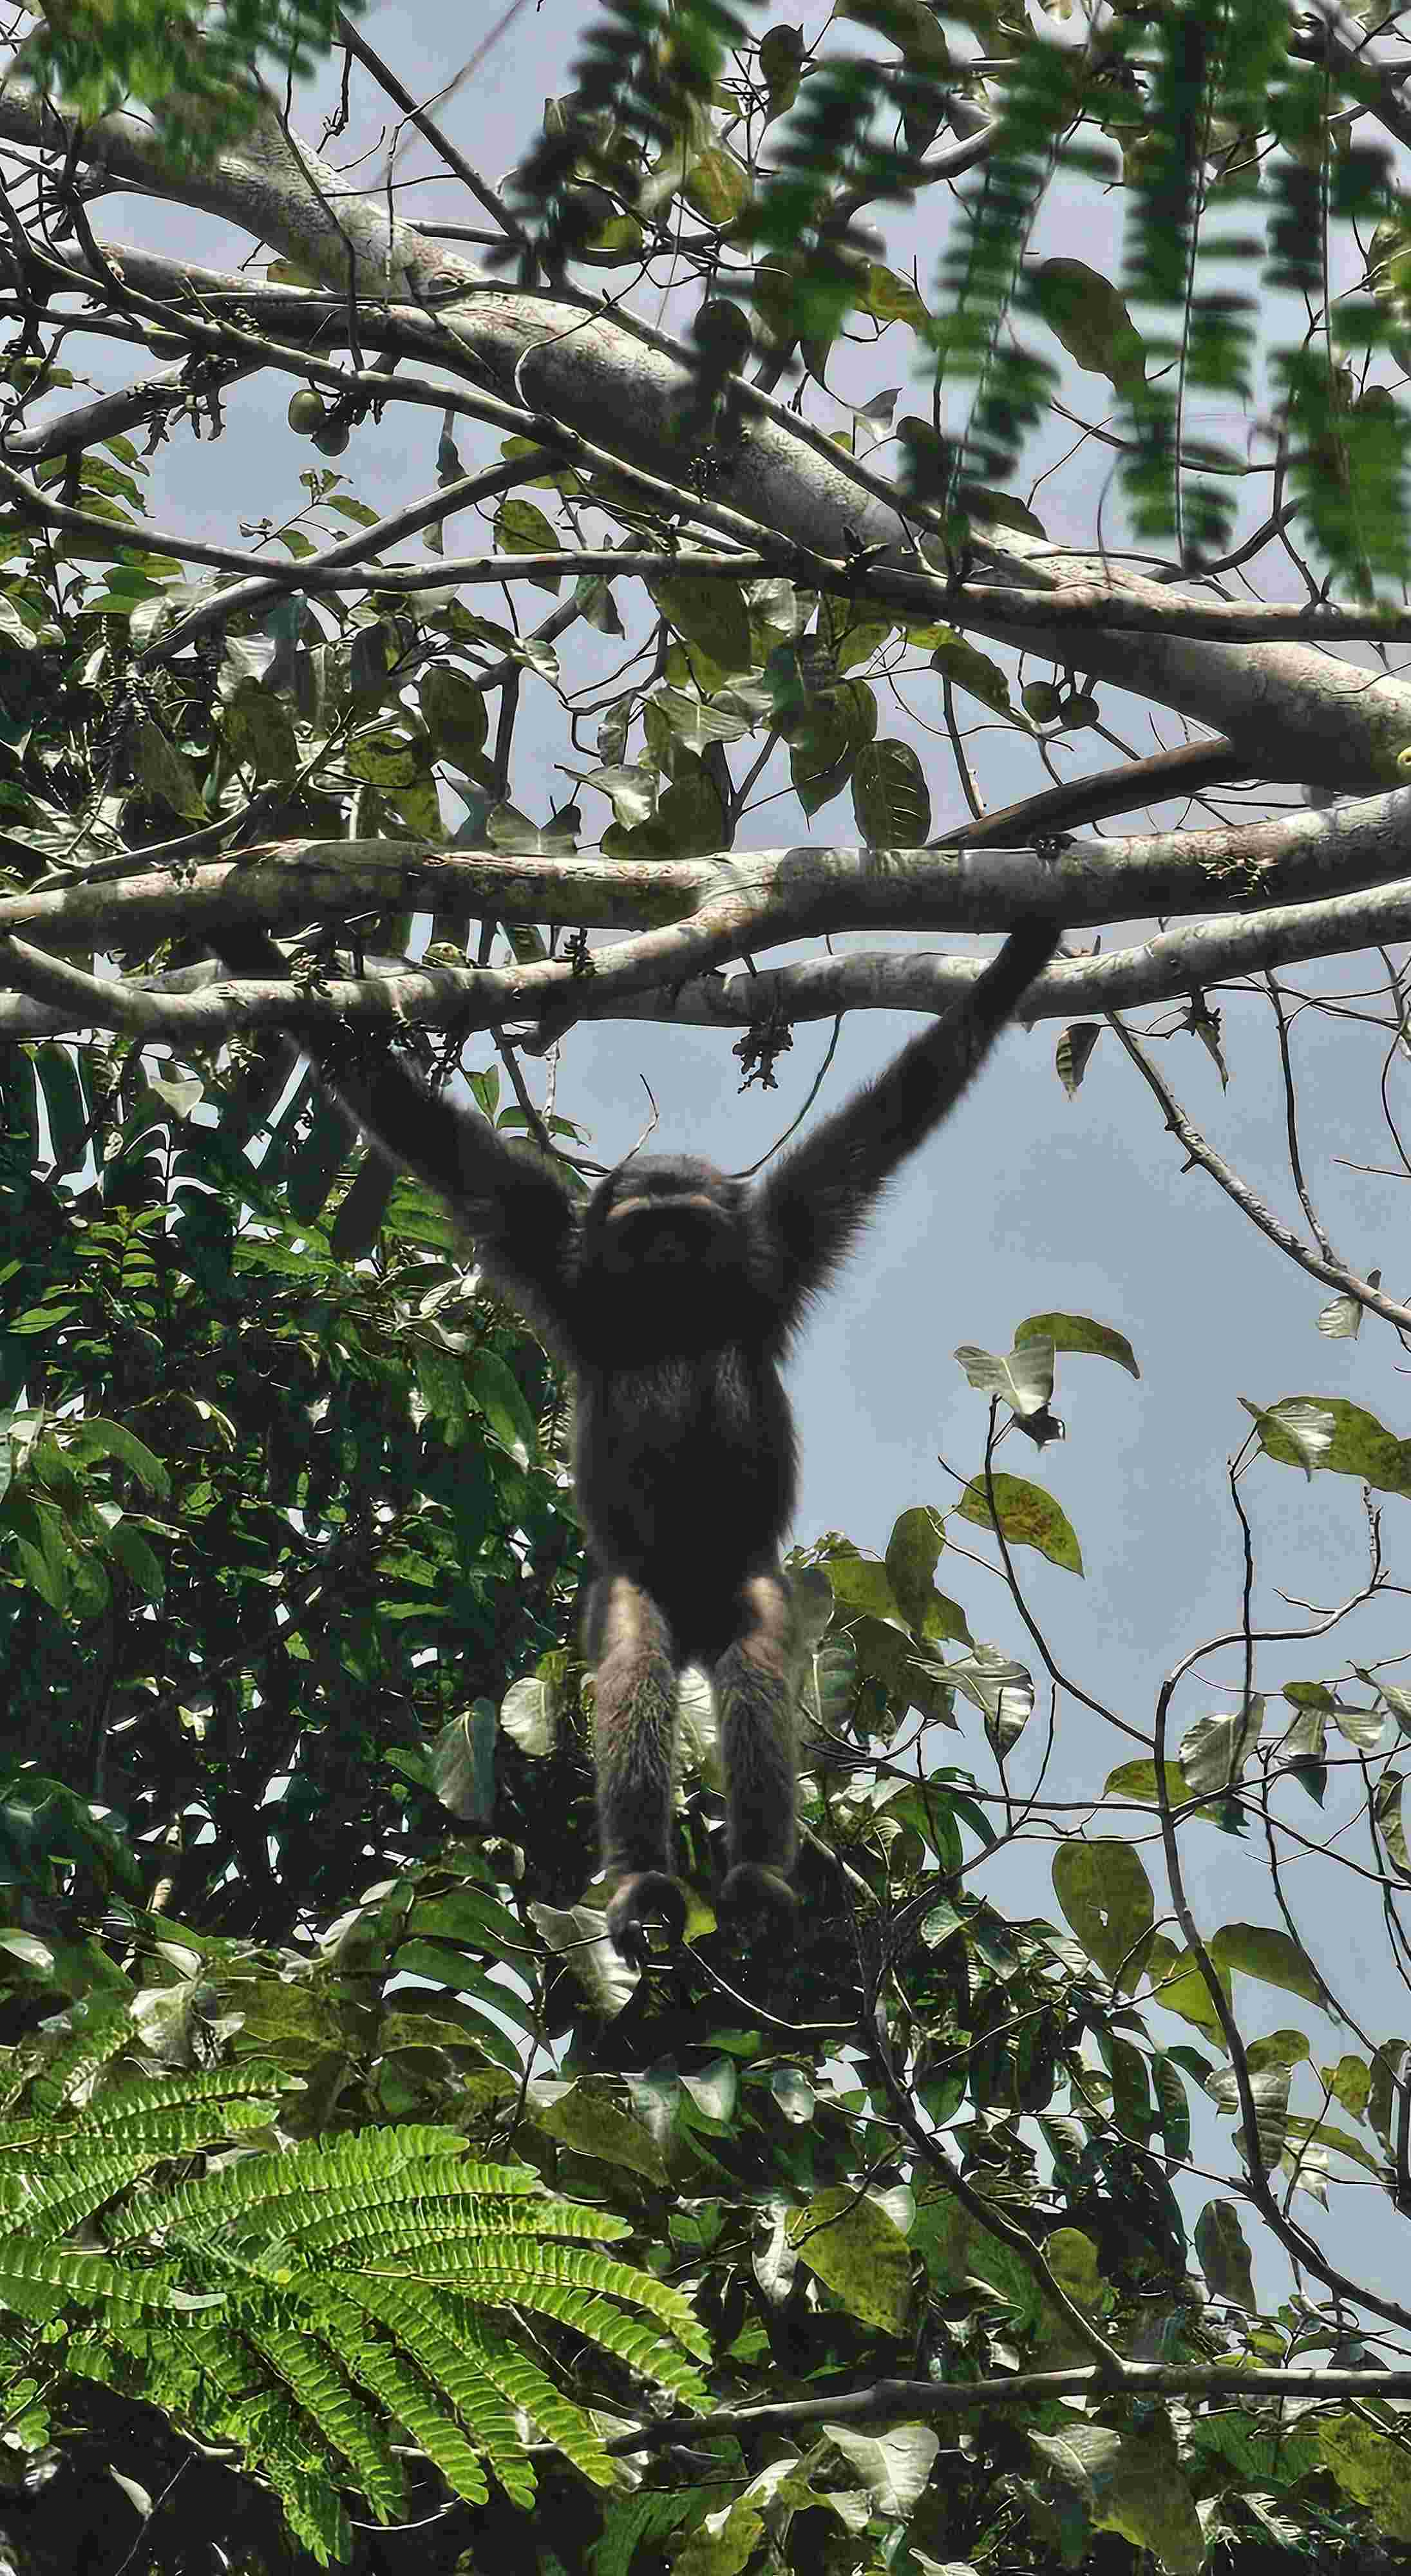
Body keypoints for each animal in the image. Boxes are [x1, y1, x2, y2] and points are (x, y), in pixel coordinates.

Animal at [312, 921, 1060, 1961]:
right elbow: (428, 1135)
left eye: (685, 1225)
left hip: (747, 1583)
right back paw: (642, 1882)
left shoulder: (776, 1247)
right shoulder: (556, 1256)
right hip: (637, 1589)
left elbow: (898, 1108)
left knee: (753, 1676)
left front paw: (1016, 962)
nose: (666, 1251)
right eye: (645, 1228)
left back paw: (753, 1876)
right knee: (635, 1671)